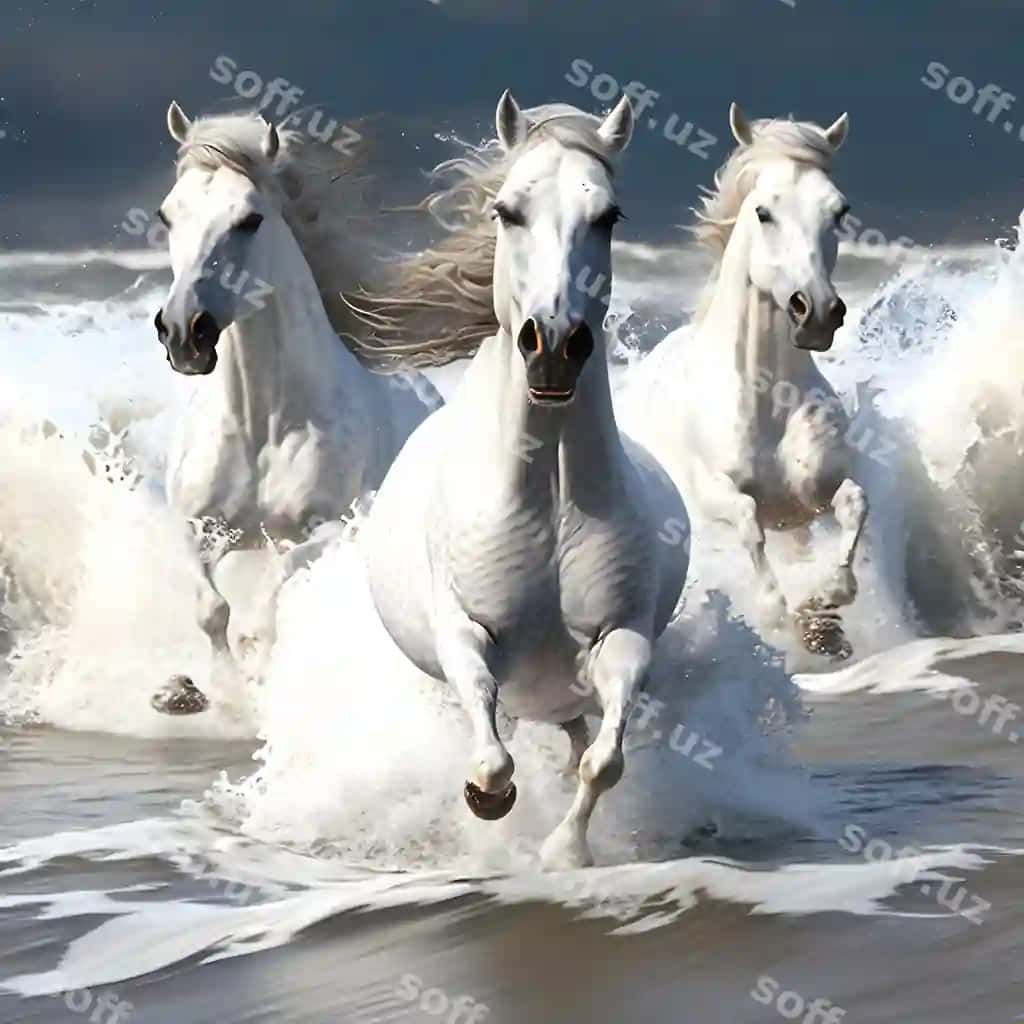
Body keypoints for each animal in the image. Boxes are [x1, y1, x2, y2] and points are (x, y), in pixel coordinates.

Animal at [151, 102, 441, 714]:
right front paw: (190, 692)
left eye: (249, 219)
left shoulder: (321, 530)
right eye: (167, 215)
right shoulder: (198, 527)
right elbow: (210, 610)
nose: (184, 333)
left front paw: (252, 674)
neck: (261, 423)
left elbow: (270, 601)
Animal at [359, 91, 690, 869]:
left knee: (575, 737)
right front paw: (489, 801)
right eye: (507, 211)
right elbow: (491, 753)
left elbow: (605, 761)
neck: (550, 506)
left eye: (608, 216)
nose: (554, 347)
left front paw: (565, 852)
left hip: (562, 693)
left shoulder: (622, 636)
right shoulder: (464, 633)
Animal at [622, 103, 867, 660]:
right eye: (763, 212)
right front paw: (780, 613)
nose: (816, 311)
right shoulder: (716, 492)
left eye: (839, 211)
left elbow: (854, 506)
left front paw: (825, 608)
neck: (768, 399)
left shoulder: (814, 494)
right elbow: (747, 521)